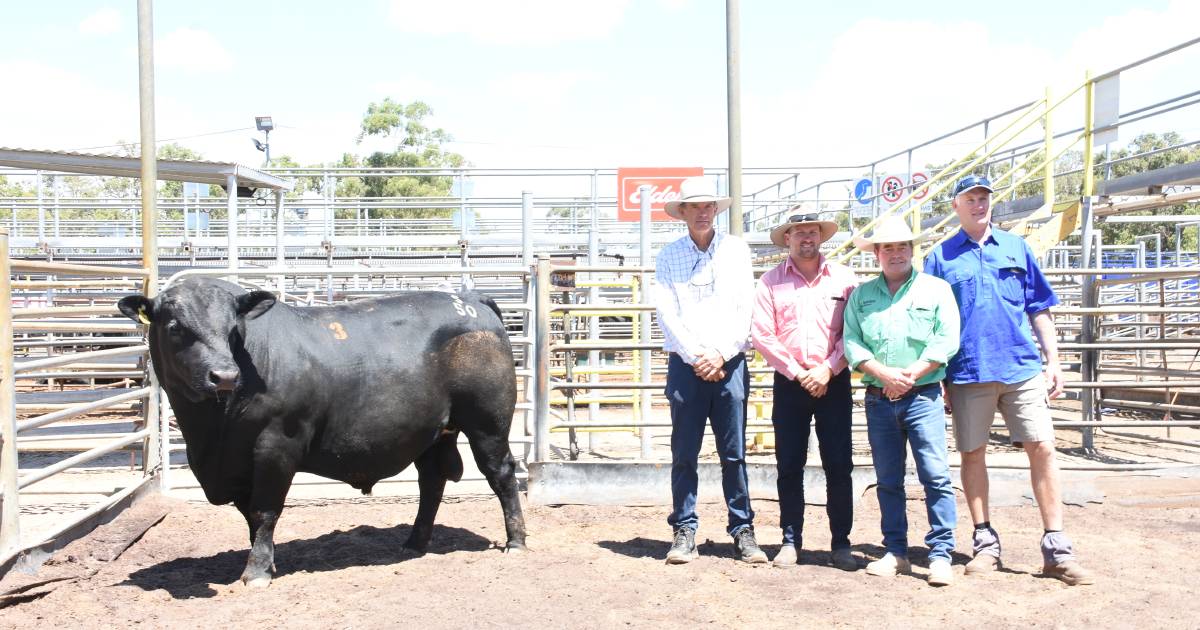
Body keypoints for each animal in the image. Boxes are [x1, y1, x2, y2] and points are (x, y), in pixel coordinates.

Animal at [119, 277, 528, 588]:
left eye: (232, 328)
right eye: (174, 326)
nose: (224, 375)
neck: (211, 432)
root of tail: (471, 299)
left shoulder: (276, 446)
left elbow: (265, 510)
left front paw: (256, 570)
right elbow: (251, 516)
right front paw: (266, 560)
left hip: (487, 424)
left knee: (501, 474)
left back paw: (516, 540)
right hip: (434, 430)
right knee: (432, 480)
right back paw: (414, 541)